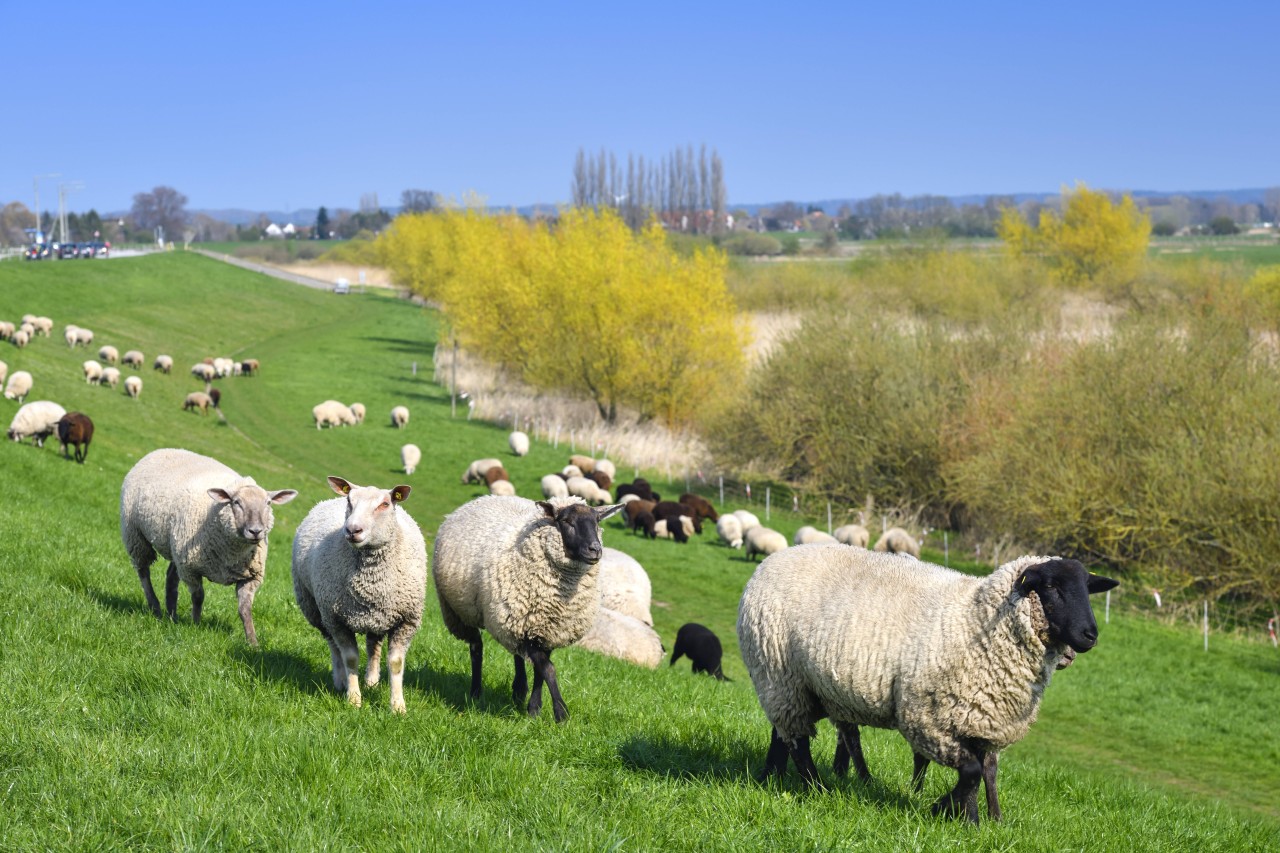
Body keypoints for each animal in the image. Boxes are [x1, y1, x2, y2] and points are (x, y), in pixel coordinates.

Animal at [120, 448, 298, 640]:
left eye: (268, 503)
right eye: (236, 502)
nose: (256, 531)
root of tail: (163, 450)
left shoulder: (251, 576)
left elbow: (245, 609)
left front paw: (252, 641)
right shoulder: (191, 569)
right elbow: (198, 597)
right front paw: (196, 625)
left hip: (177, 547)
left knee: (171, 576)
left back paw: (172, 614)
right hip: (136, 536)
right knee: (143, 571)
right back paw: (156, 607)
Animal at [293, 473, 427, 706]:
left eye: (385, 504)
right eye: (349, 501)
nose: (352, 530)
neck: (371, 581)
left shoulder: (406, 621)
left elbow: (396, 663)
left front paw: (397, 705)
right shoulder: (337, 619)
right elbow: (350, 658)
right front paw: (354, 699)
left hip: (378, 617)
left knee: (373, 646)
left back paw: (372, 681)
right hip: (317, 609)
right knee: (333, 646)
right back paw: (340, 681)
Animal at [432, 491, 627, 717]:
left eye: (597, 522)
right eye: (566, 521)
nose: (595, 549)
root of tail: (482, 498)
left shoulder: (545, 630)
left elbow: (540, 670)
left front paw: (534, 708)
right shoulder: (527, 631)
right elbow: (548, 668)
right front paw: (560, 712)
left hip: (512, 622)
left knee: (516, 654)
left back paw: (518, 690)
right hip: (460, 611)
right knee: (476, 648)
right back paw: (476, 692)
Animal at [742, 545, 1121, 824]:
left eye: (1088, 589)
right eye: (1052, 586)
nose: (1090, 635)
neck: (976, 621)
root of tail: (773, 559)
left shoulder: (980, 720)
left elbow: (986, 772)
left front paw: (976, 820)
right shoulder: (925, 719)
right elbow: (971, 772)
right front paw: (950, 811)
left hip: (801, 688)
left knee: (785, 734)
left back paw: (771, 776)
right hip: (779, 675)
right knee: (799, 742)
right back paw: (815, 786)